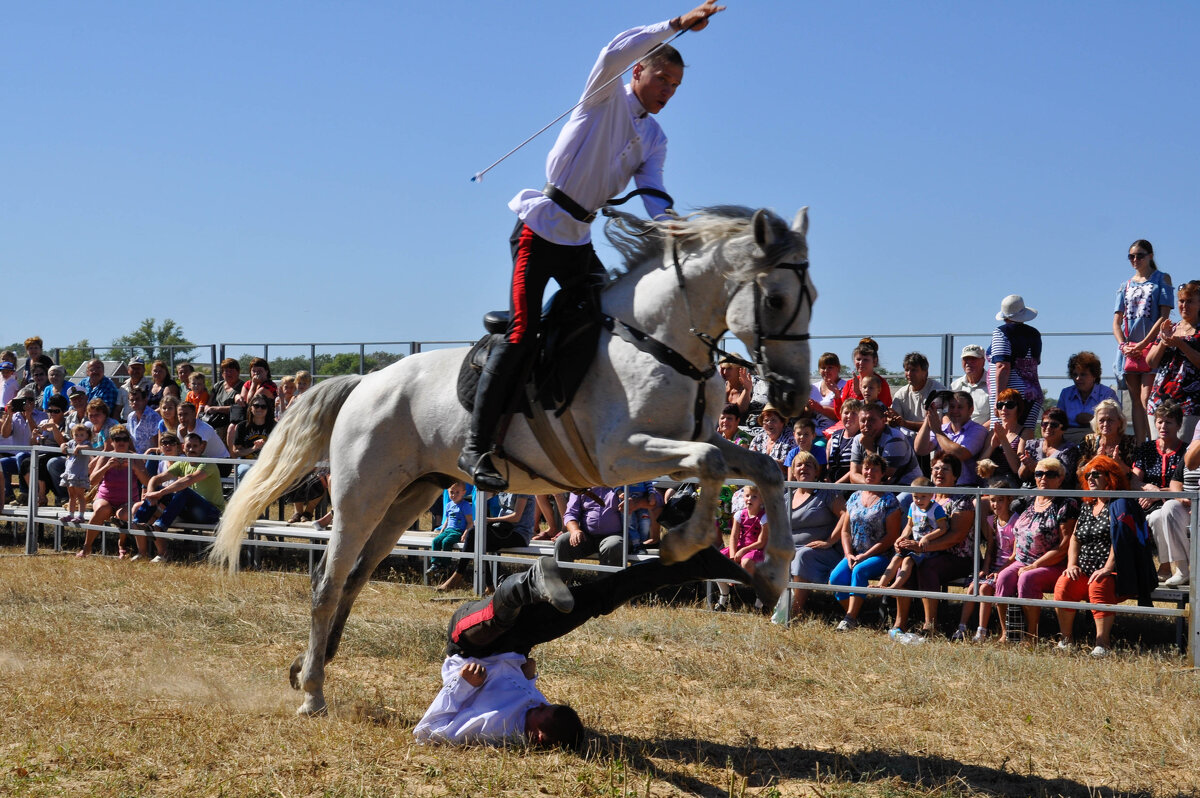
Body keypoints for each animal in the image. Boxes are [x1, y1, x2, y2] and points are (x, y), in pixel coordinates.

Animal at [213, 205, 816, 715]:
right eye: (777, 300)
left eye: (811, 294)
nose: (790, 396)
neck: (658, 342)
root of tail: (365, 383)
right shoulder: (623, 455)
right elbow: (712, 462)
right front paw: (684, 543)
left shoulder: (687, 445)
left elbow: (764, 469)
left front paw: (771, 569)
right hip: (363, 494)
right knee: (328, 582)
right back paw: (313, 692)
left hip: (410, 494)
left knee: (355, 577)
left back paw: (307, 668)